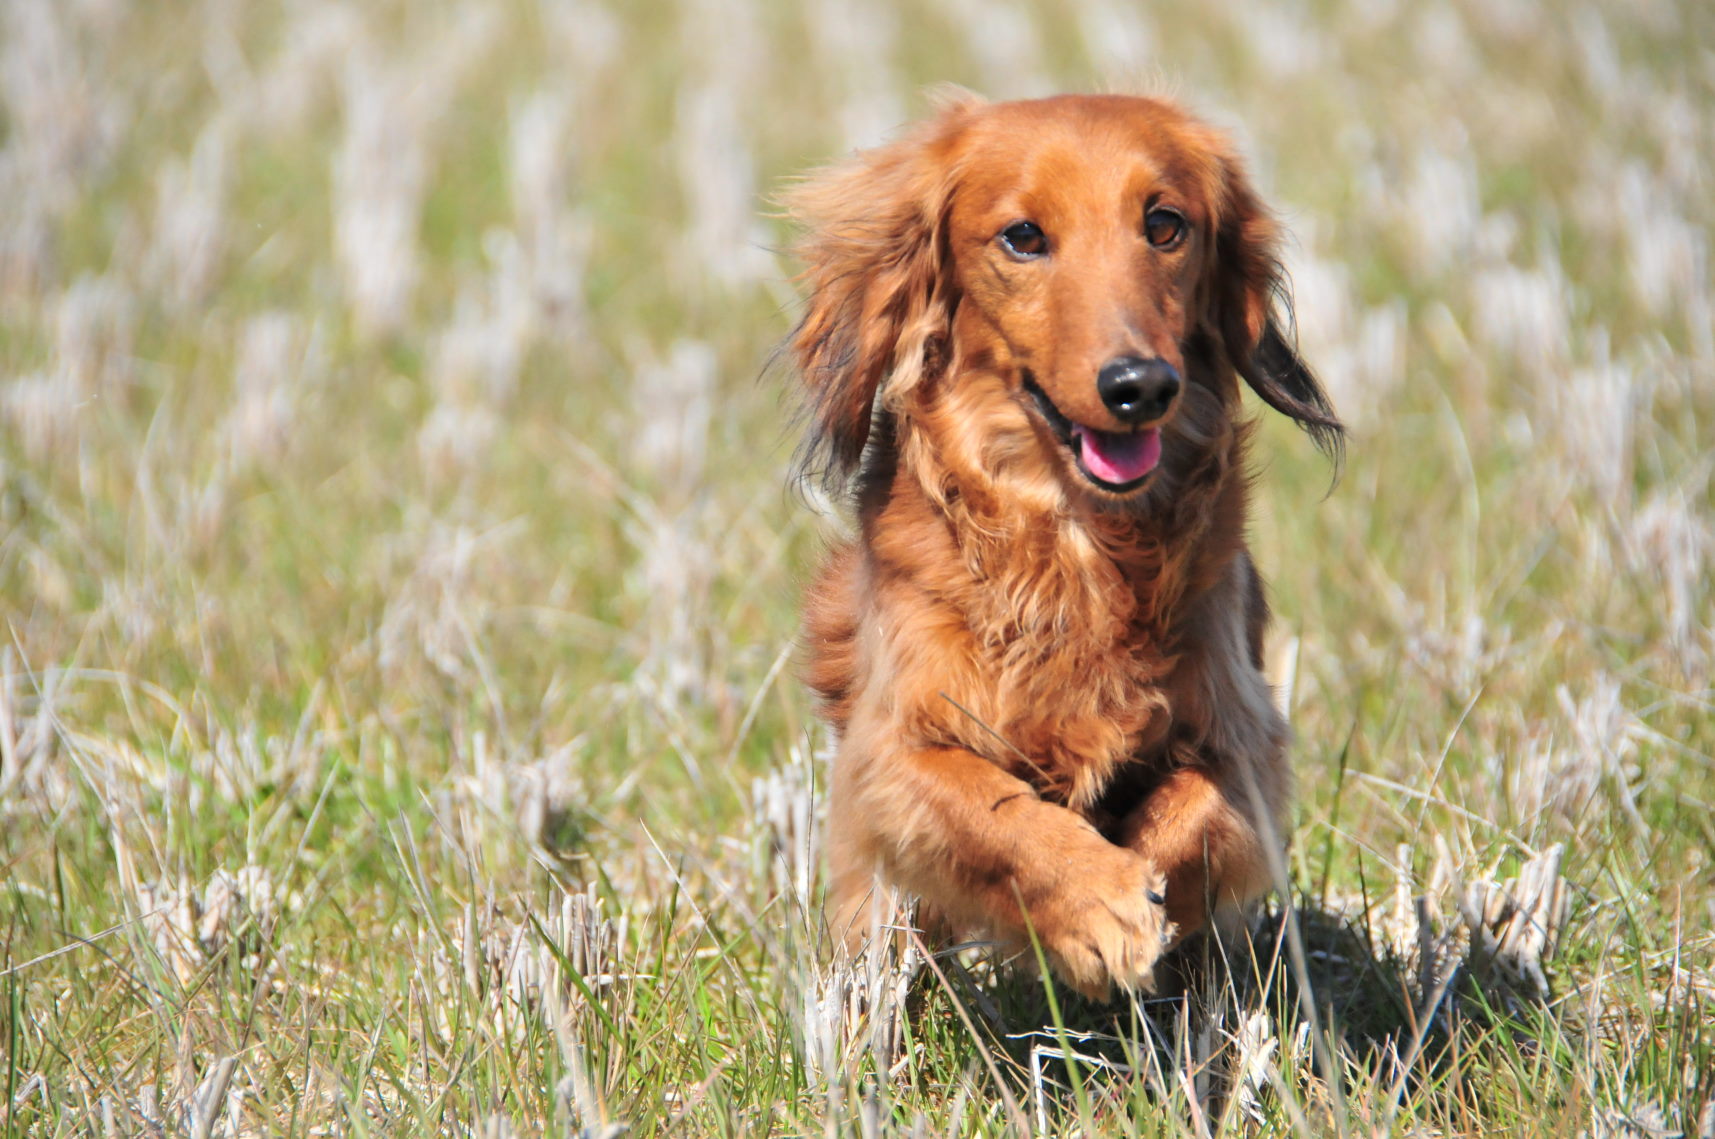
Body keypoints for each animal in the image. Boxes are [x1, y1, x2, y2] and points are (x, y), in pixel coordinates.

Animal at [785, 93, 1337, 994]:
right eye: (1022, 236)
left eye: (1164, 224)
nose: (1140, 385)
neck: (1075, 547)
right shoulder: (891, 749)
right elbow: (991, 810)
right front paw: (1096, 906)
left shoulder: (1244, 735)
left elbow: (1187, 814)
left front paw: (1134, 899)